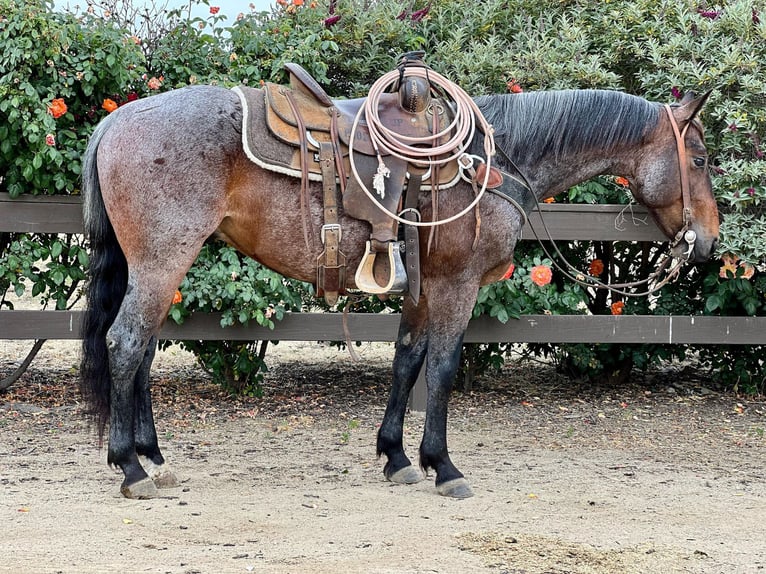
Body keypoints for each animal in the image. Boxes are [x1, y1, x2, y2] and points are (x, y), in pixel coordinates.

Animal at [78, 83, 720, 502]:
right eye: (702, 158)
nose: (709, 241)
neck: (487, 164)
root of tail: (115, 122)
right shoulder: (457, 284)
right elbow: (441, 367)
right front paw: (444, 465)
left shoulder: (424, 286)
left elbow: (407, 359)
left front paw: (397, 456)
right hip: (163, 261)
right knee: (126, 343)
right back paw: (131, 468)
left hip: (157, 267)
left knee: (141, 351)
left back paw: (153, 458)